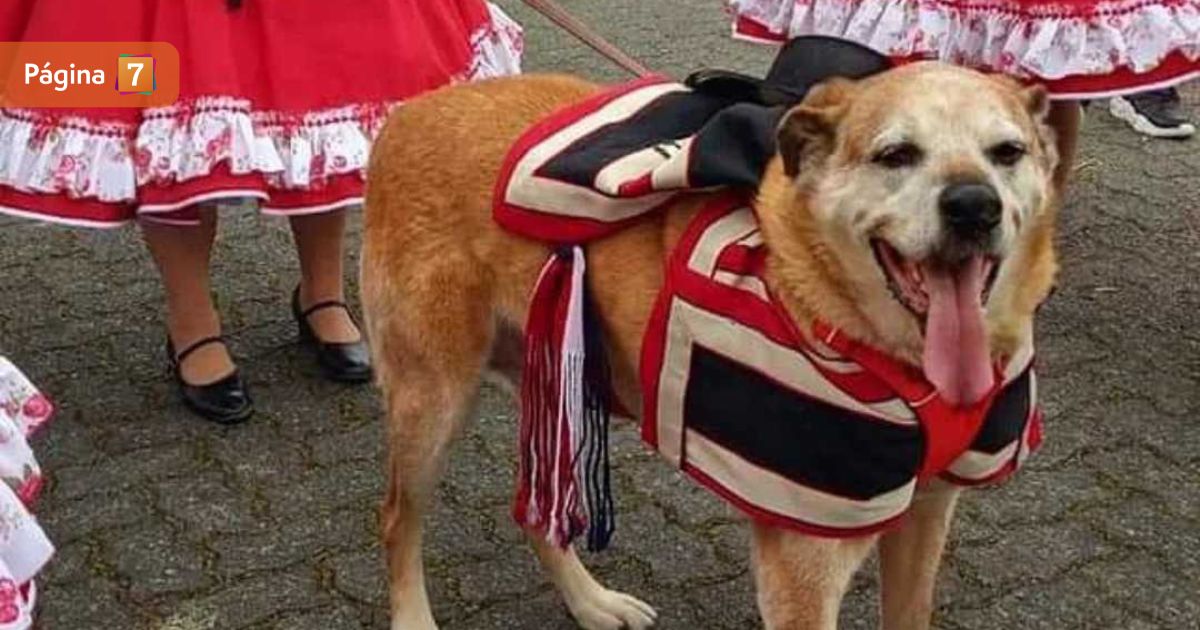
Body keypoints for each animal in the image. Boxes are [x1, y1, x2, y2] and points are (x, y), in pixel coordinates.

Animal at [362, 60, 1060, 628]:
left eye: (1007, 152)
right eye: (896, 155)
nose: (973, 206)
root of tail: (417, 108)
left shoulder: (927, 514)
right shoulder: (802, 570)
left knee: (535, 512)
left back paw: (591, 603)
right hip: (434, 403)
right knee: (396, 520)